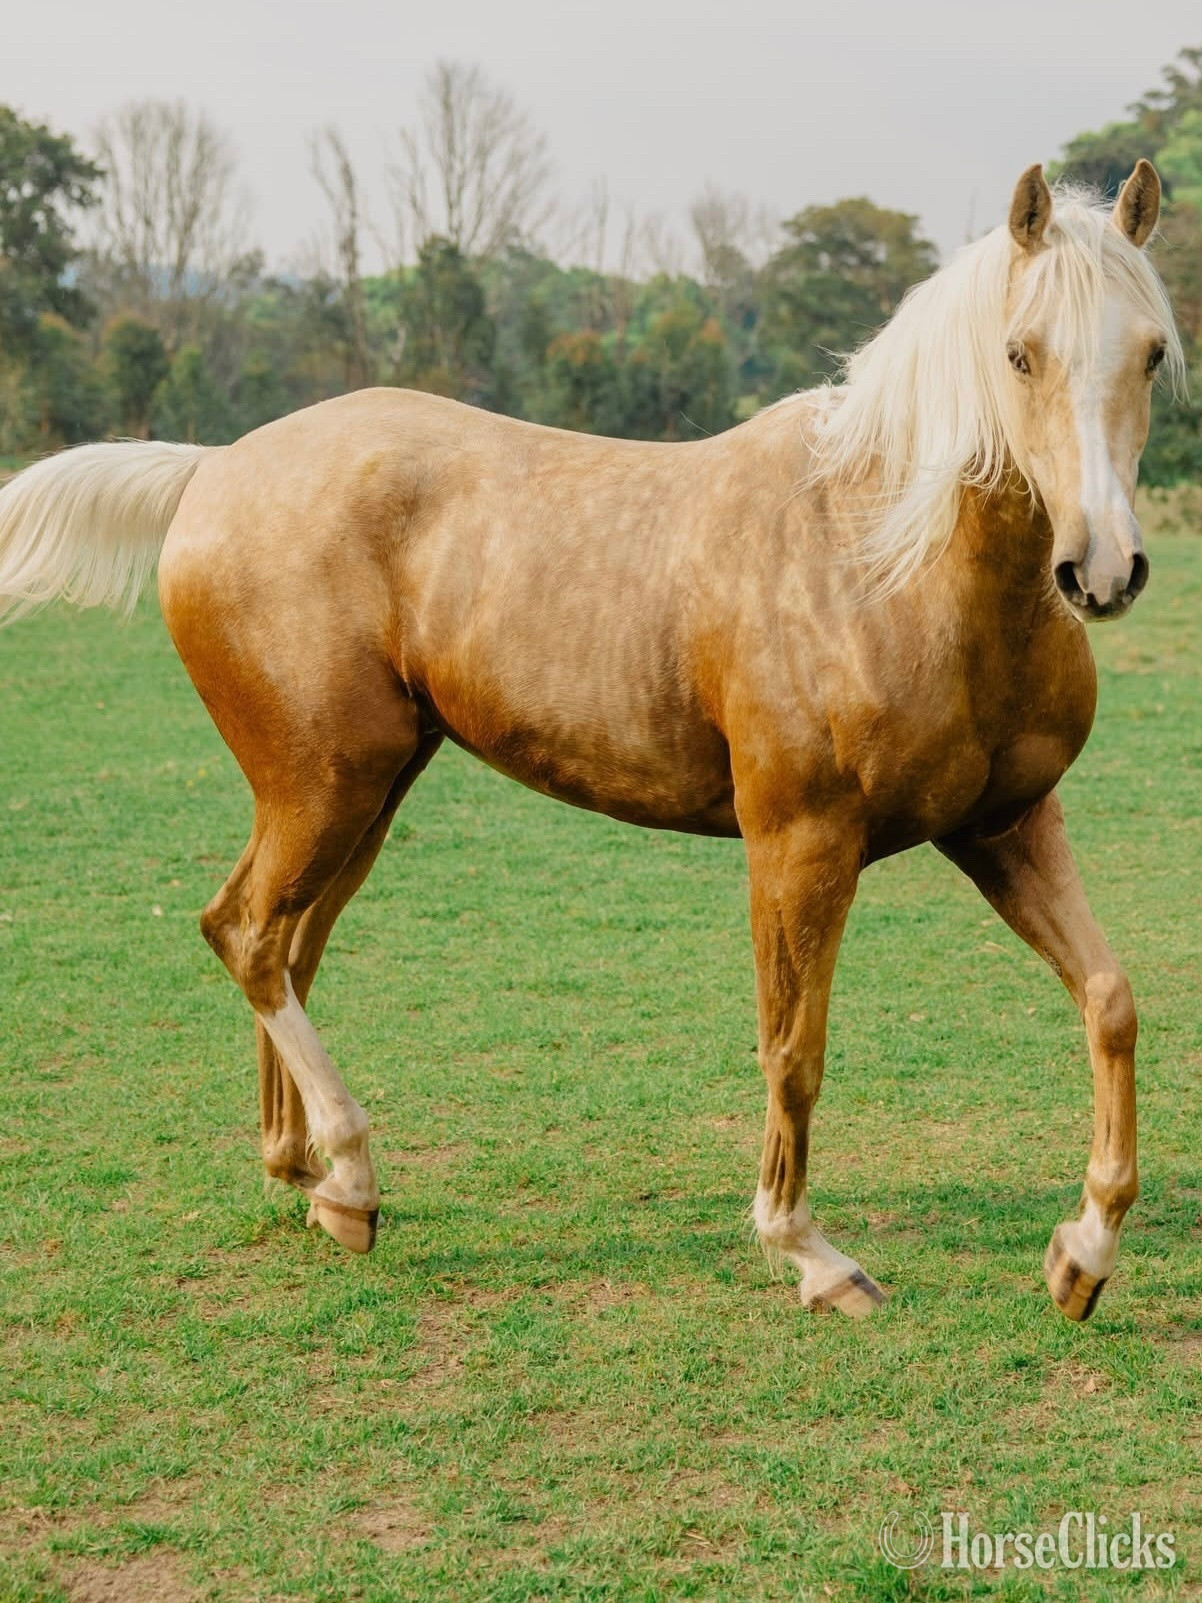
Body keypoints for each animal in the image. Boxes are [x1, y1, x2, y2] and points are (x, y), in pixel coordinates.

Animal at [0, 162, 1181, 1321]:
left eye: (1152, 350)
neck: (880, 556)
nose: (1101, 569)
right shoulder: (799, 843)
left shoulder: (1005, 828)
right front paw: (807, 1253)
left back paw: (311, 1181)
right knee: (247, 934)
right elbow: (793, 1048)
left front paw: (1082, 1252)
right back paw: (352, 1171)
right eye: (1018, 353)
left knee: (288, 947)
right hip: (324, 785)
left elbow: (1110, 1002)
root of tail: (213, 470)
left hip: (366, 794)